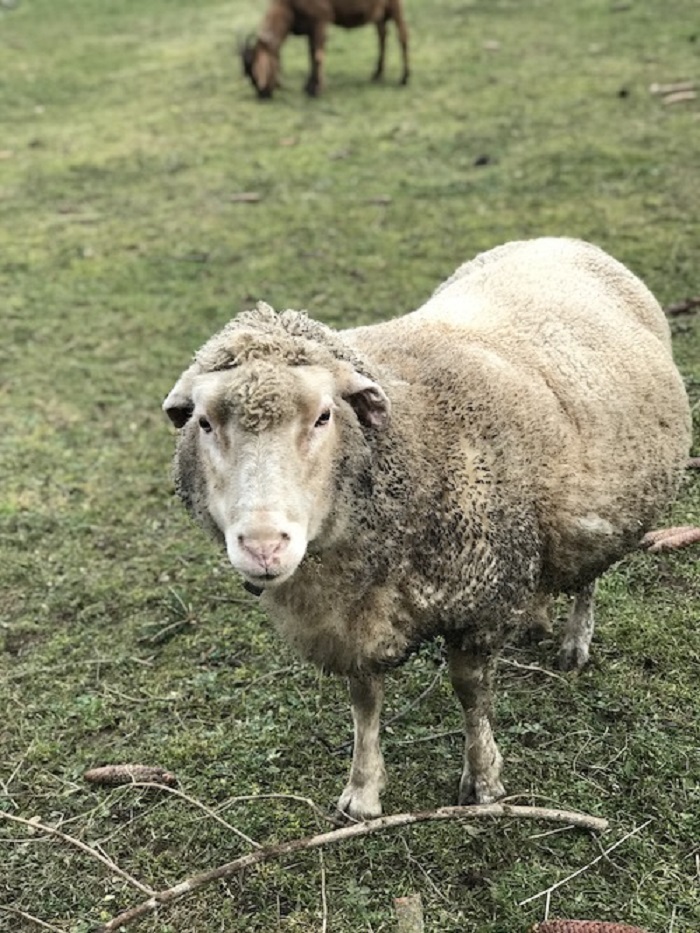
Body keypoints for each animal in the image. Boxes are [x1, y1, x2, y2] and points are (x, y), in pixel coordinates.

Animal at [163, 238, 688, 816]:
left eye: (324, 415)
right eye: (204, 422)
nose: (262, 546)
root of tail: (560, 240)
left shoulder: (478, 603)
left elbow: (470, 693)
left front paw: (483, 780)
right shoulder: (356, 617)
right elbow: (364, 701)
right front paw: (362, 790)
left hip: (606, 509)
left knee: (589, 576)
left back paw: (575, 642)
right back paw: (537, 616)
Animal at [243, 0, 410, 98]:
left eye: (256, 70)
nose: (262, 94)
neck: (287, 7)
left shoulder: (321, 18)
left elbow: (317, 55)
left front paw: (316, 90)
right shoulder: (309, 26)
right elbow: (310, 54)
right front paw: (309, 85)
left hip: (395, 6)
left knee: (403, 37)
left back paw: (404, 78)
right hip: (379, 12)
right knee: (382, 36)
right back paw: (377, 74)